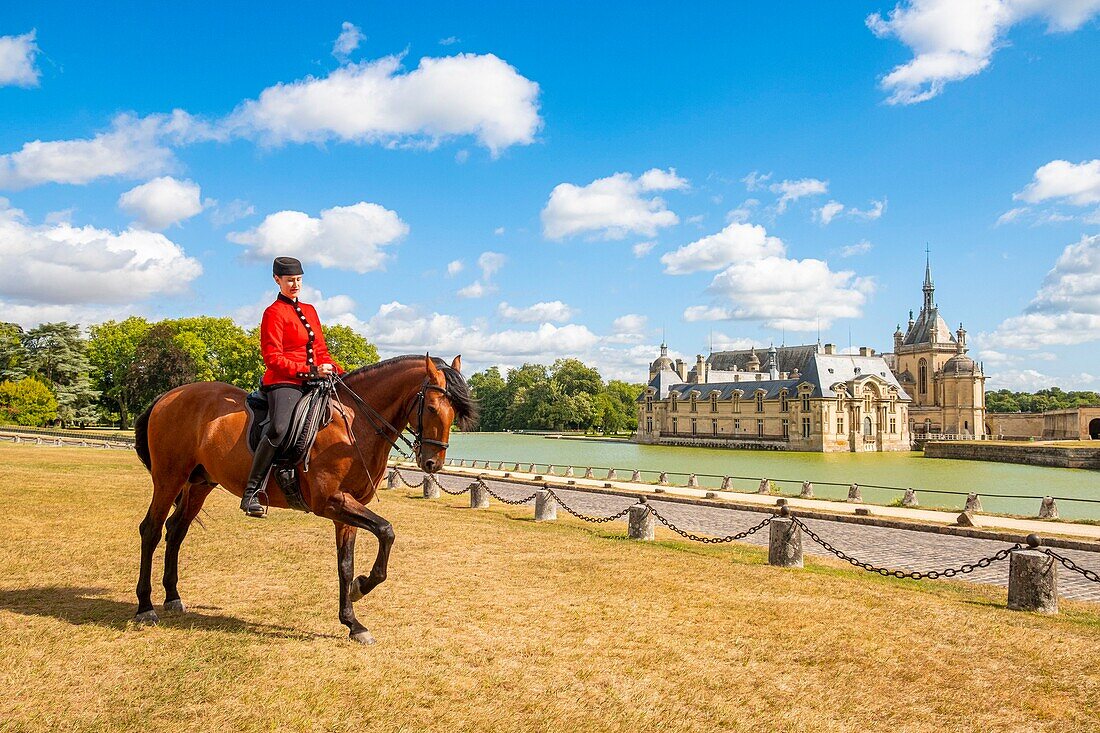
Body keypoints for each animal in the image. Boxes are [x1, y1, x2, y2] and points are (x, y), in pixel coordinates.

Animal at [130, 352, 475, 642]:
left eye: (455, 412)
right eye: (431, 408)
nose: (433, 464)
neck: (352, 423)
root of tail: (169, 395)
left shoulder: (347, 508)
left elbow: (346, 563)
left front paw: (353, 620)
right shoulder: (331, 502)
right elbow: (386, 531)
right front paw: (362, 587)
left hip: (200, 483)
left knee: (176, 530)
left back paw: (173, 597)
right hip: (169, 478)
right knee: (151, 530)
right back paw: (145, 607)